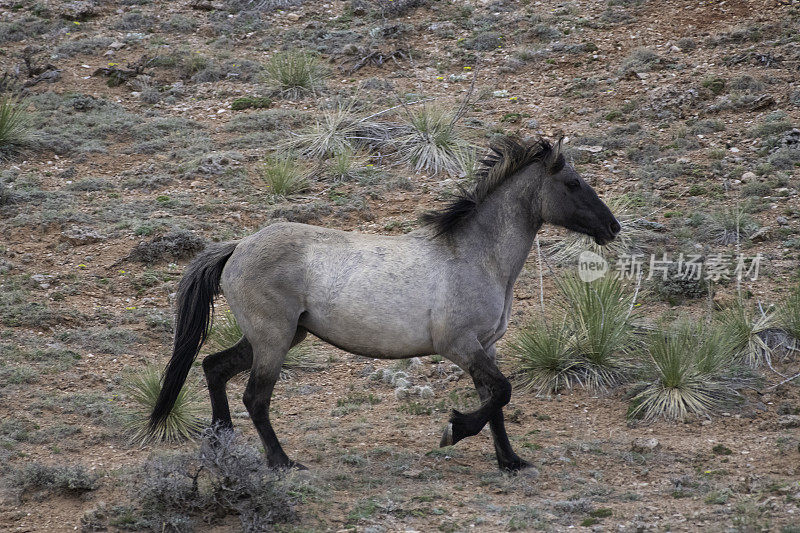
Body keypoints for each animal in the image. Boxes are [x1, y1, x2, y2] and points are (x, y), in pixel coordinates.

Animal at [152, 136, 624, 470]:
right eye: (573, 184)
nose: (612, 227)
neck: (475, 257)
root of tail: (238, 247)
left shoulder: (485, 347)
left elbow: (497, 401)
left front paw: (511, 461)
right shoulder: (459, 346)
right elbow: (502, 393)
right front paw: (454, 429)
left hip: (278, 336)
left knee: (214, 367)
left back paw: (221, 443)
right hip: (274, 339)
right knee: (255, 398)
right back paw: (283, 463)